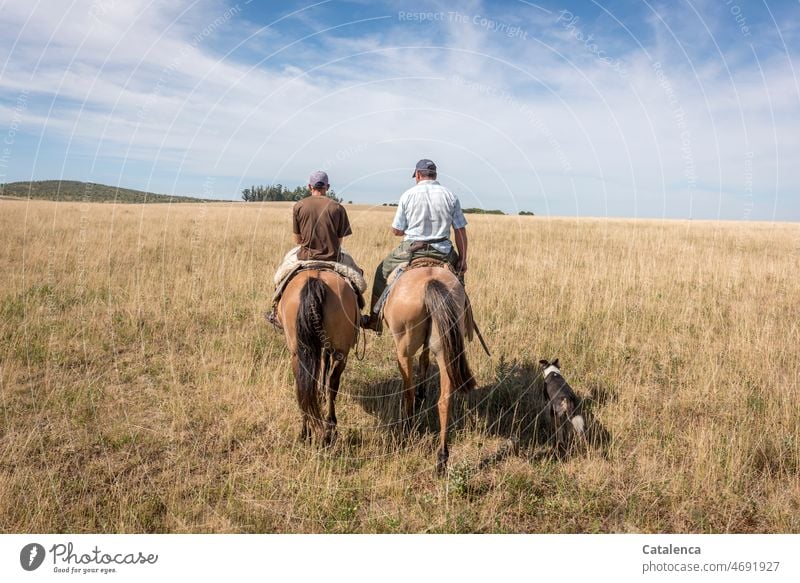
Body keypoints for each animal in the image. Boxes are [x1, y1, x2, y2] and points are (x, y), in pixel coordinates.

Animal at [278, 270, 360, 448]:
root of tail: (316, 280)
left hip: (299, 353)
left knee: (304, 386)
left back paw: (308, 432)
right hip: (339, 352)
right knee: (328, 384)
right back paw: (327, 429)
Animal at [382, 262, 476, 476]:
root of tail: (430, 282)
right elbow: (424, 359)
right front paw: (422, 392)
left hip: (404, 348)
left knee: (407, 390)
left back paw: (408, 428)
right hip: (444, 349)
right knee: (445, 400)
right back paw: (441, 458)